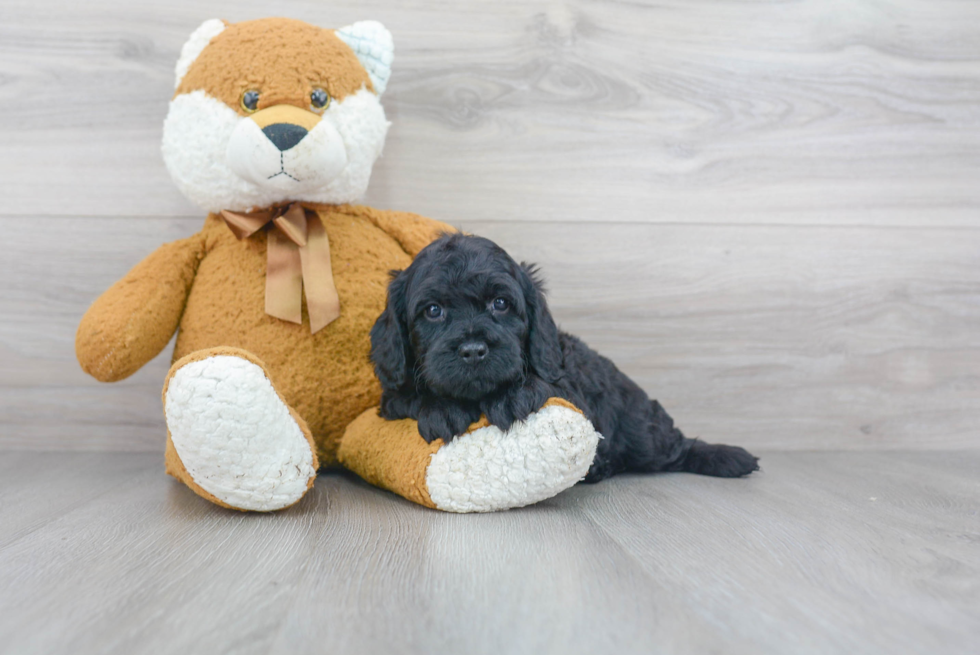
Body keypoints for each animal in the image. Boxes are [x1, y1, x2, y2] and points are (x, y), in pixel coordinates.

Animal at [368, 234, 756, 482]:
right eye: (433, 310)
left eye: (500, 303)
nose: (474, 350)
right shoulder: (390, 400)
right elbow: (409, 396)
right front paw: (442, 409)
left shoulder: (567, 384)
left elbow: (541, 385)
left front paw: (513, 396)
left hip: (641, 428)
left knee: (672, 447)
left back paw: (727, 457)